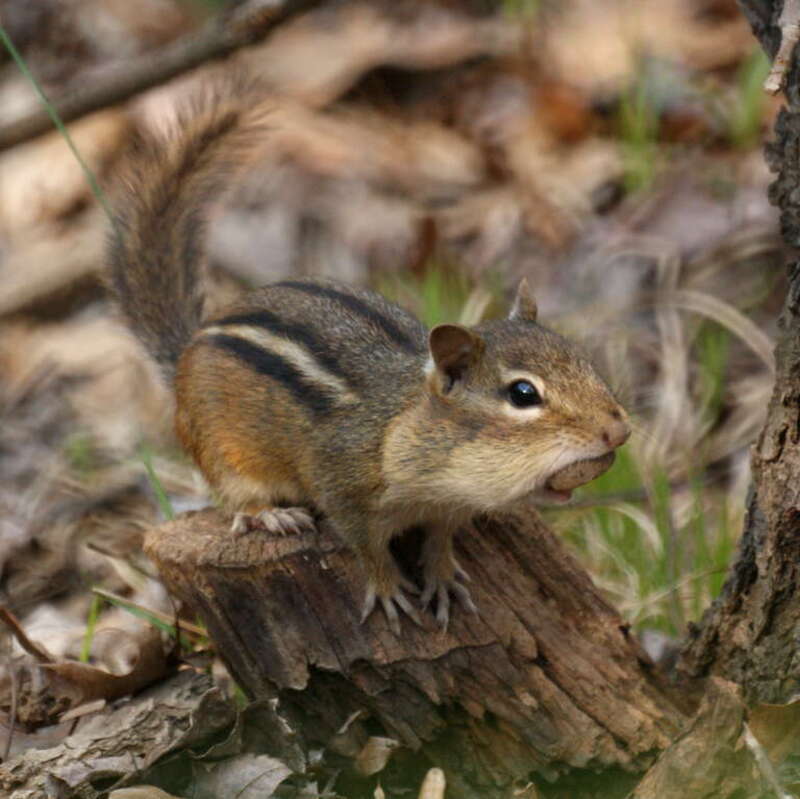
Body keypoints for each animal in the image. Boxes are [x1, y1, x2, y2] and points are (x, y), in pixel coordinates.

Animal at [108, 83, 630, 634]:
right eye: (523, 394)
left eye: (581, 359)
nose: (618, 431)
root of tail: (190, 344)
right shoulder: (342, 487)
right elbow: (366, 548)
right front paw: (386, 589)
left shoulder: (448, 510)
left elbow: (440, 540)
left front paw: (441, 578)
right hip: (220, 451)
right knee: (236, 500)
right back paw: (271, 514)